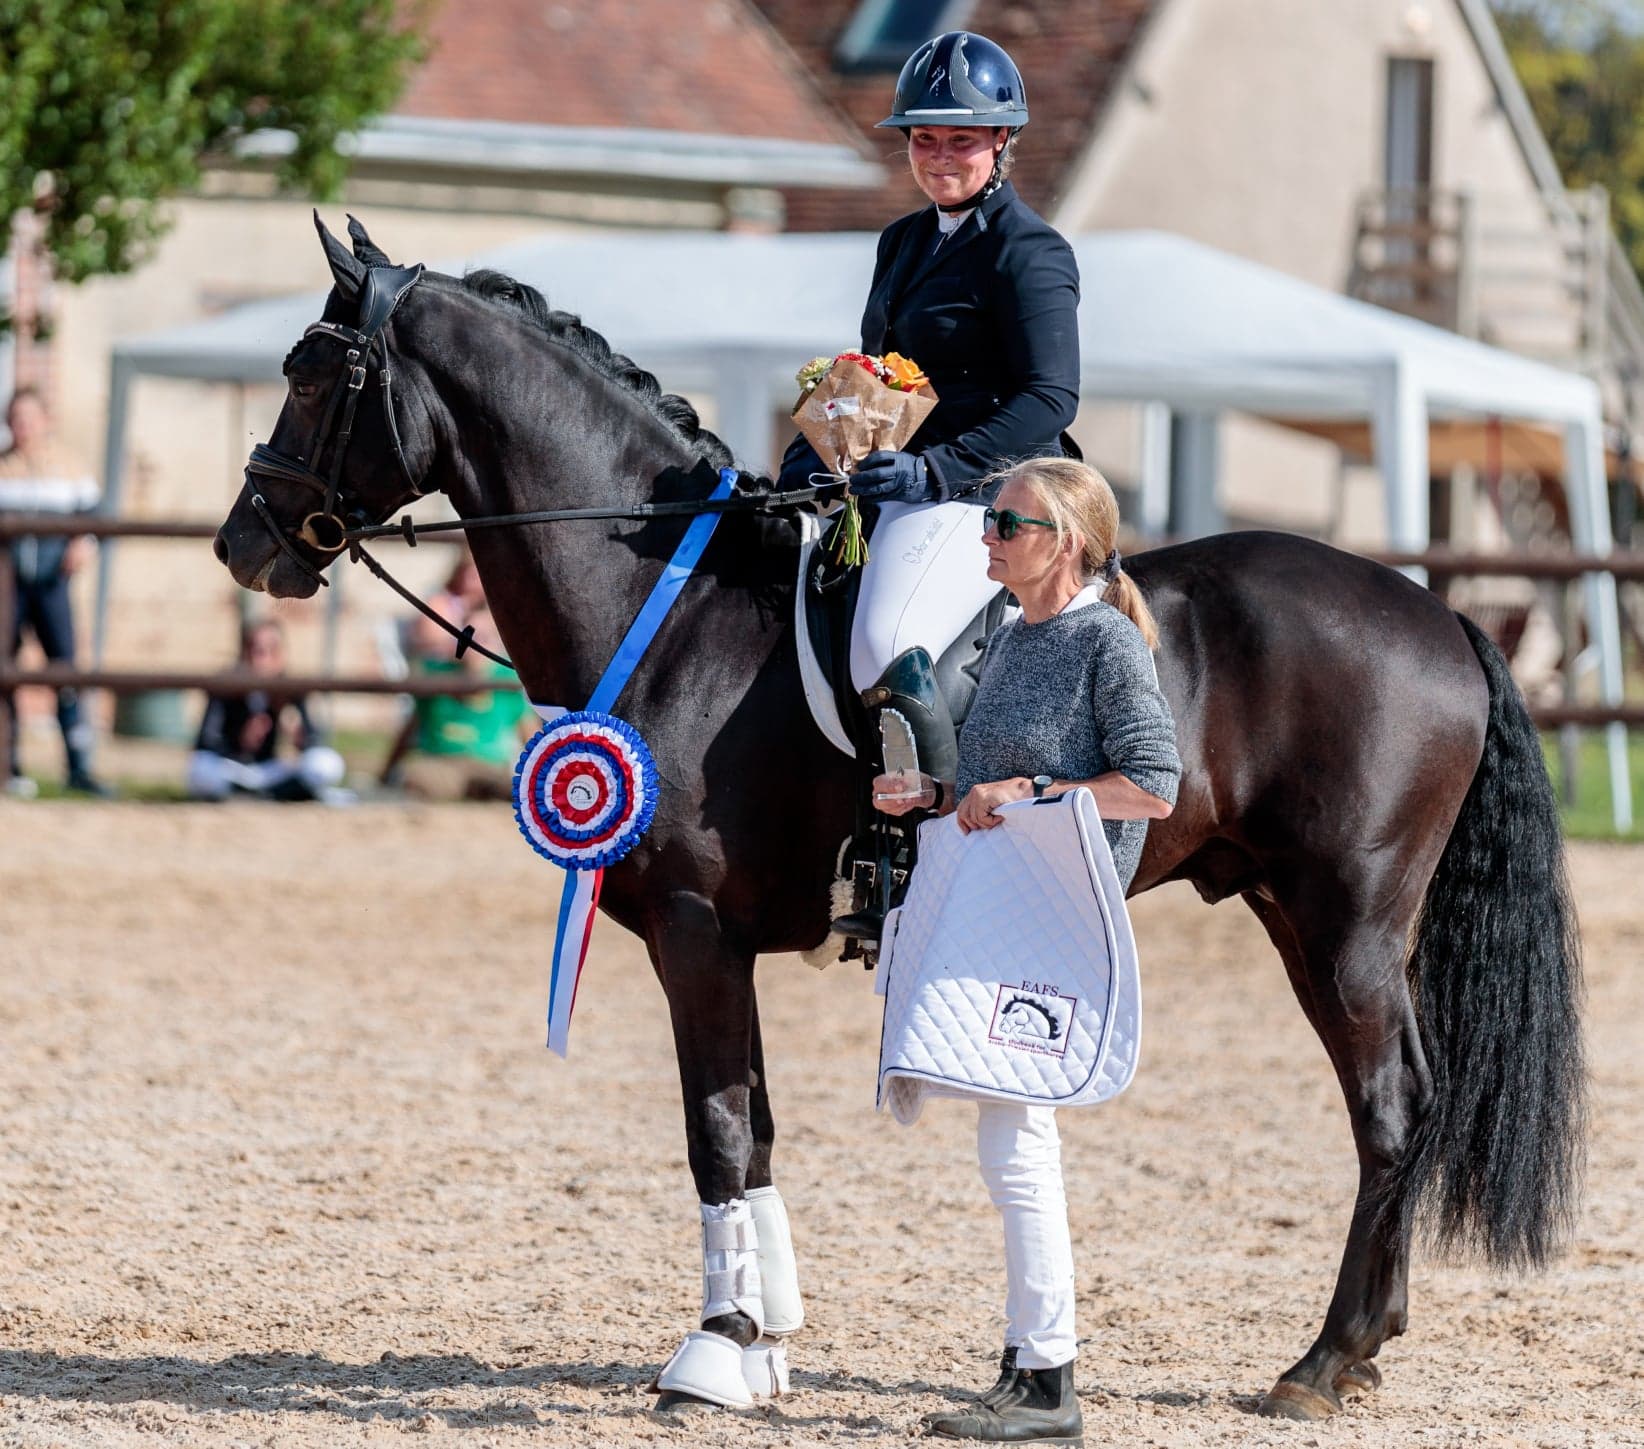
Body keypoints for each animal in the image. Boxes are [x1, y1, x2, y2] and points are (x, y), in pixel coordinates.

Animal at [213, 216, 1584, 1421]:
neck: (674, 609)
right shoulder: (713, 943)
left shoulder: (697, 934)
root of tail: (1437, 611)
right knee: (1389, 1110)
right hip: (1289, 908)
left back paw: (1323, 1361)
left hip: (1346, 918)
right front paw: (764, 1344)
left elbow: (718, 1131)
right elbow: (757, 1126)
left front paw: (713, 1353)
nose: (243, 545)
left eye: (312, 374)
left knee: (1394, 1106)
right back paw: (1357, 1354)